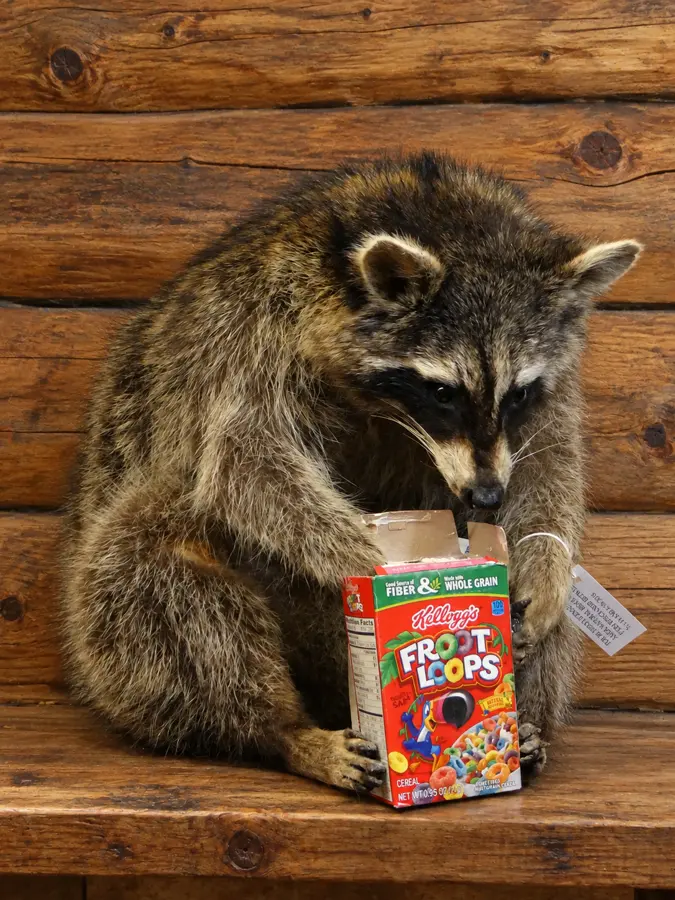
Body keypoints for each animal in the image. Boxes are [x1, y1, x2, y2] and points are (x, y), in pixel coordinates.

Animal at [62, 153, 640, 792]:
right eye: (443, 392)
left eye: (517, 394)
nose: (488, 495)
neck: (435, 209)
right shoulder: (254, 334)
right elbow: (245, 462)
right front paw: (371, 561)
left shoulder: (546, 390)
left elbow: (547, 461)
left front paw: (544, 561)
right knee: (151, 557)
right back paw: (281, 730)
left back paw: (526, 726)